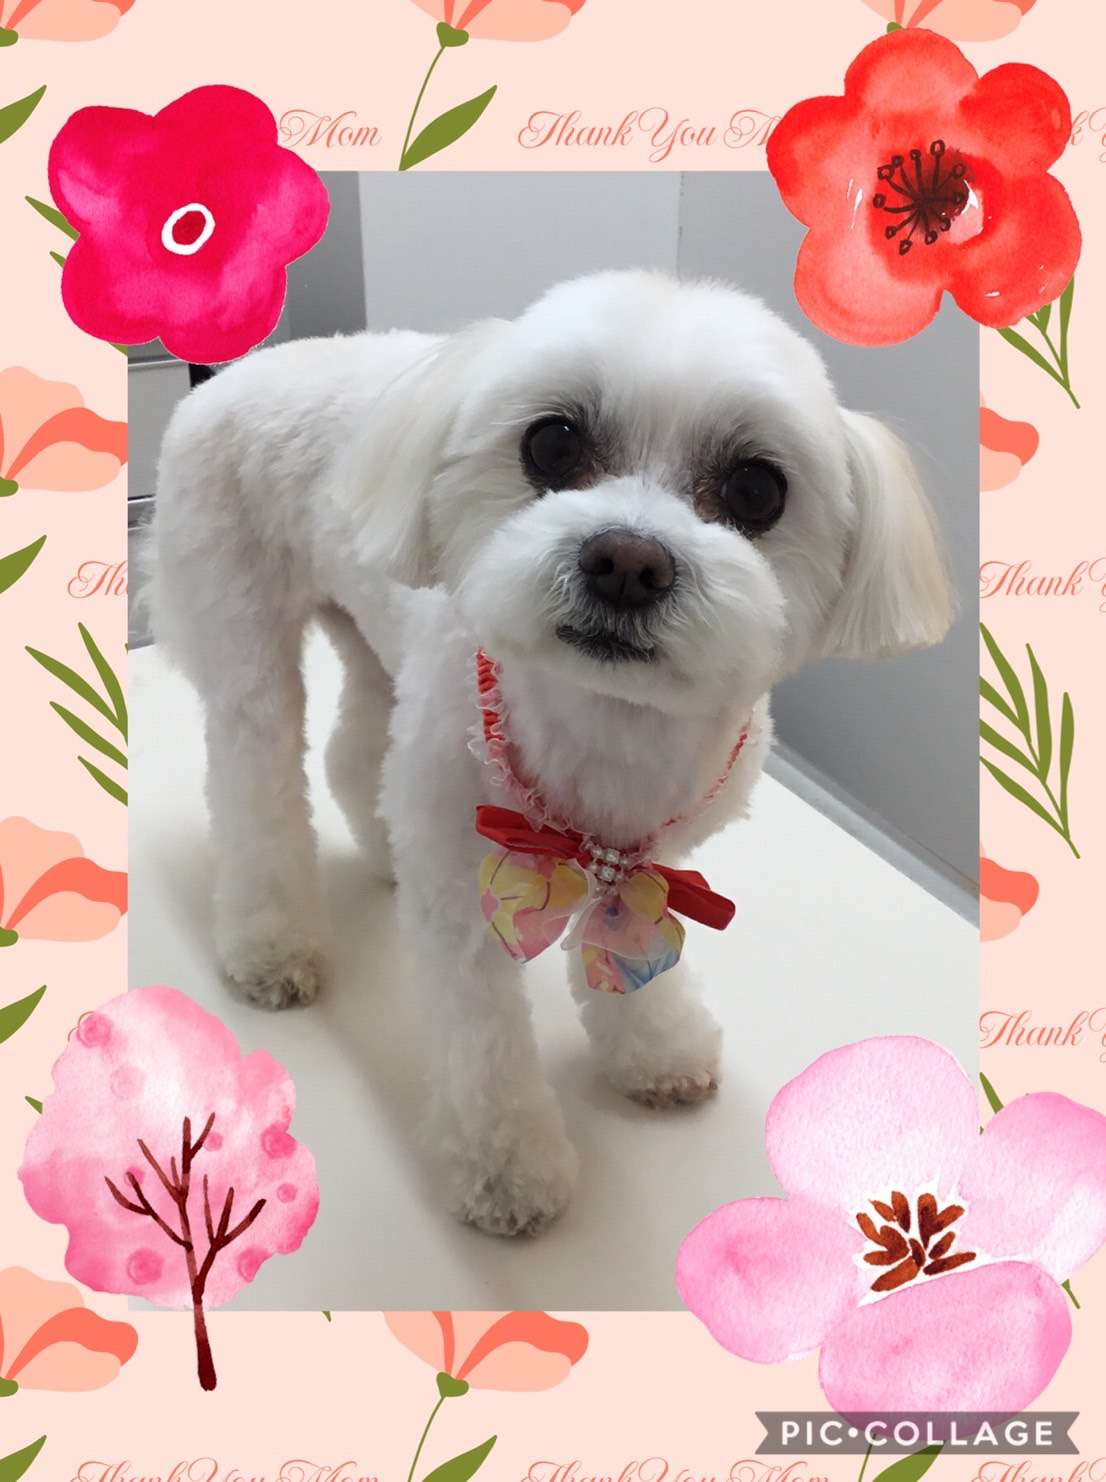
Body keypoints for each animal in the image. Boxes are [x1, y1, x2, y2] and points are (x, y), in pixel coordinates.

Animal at [149, 269, 953, 1237]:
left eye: (758, 489)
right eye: (553, 442)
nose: (628, 561)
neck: (608, 726)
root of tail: (242, 372)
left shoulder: (641, 860)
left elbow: (634, 952)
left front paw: (658, 1049)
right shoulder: (471, 904)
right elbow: (484, 1043)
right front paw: (507, 1170)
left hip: (380, 640)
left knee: (357, 754)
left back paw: (384, 854)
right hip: (239, 619)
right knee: (255, 776)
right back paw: (272, 946)